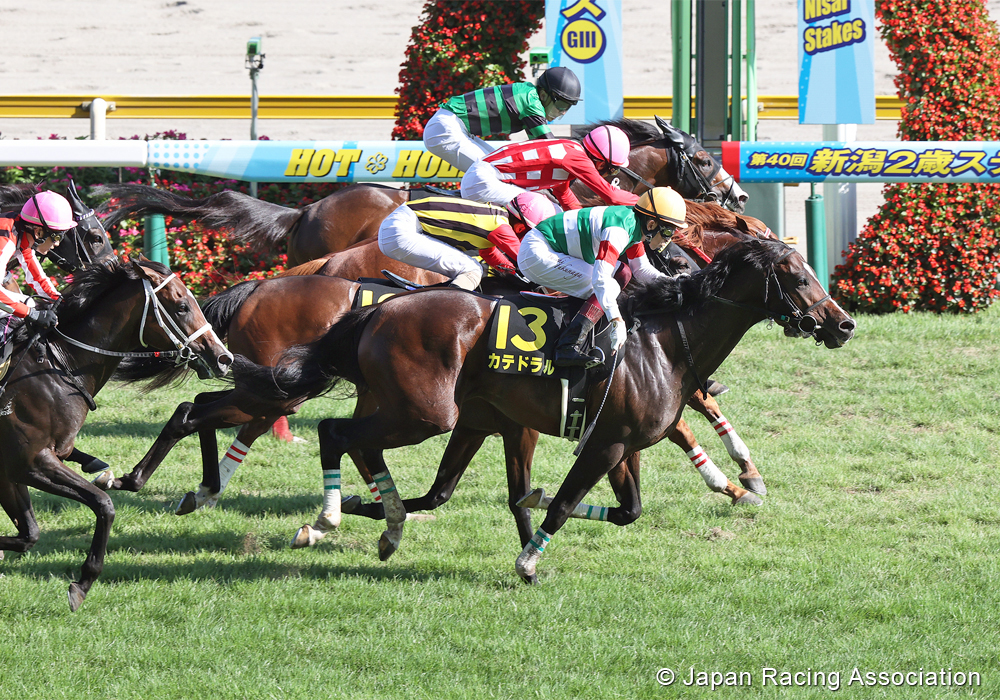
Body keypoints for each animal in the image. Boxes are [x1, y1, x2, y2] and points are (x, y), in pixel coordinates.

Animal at [0, 256, 233, 611]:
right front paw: (83, 582)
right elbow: (104, 504)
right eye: (181, 306)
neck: (57, 368)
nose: (223, 358)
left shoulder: (14, 470)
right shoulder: (31, 462)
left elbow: (29, 535)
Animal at [232, 235, 856, 580]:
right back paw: (327, 518)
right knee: (336, 433)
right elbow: (561, 505)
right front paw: (528, 560)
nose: (844, 323)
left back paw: (379, 521)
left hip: (446, 418)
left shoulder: (620, 444)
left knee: (399, 472)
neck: (665, 341)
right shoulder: (603, 442)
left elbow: (626, 510)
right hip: (424, 414)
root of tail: (377, 308)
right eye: (797, 275)